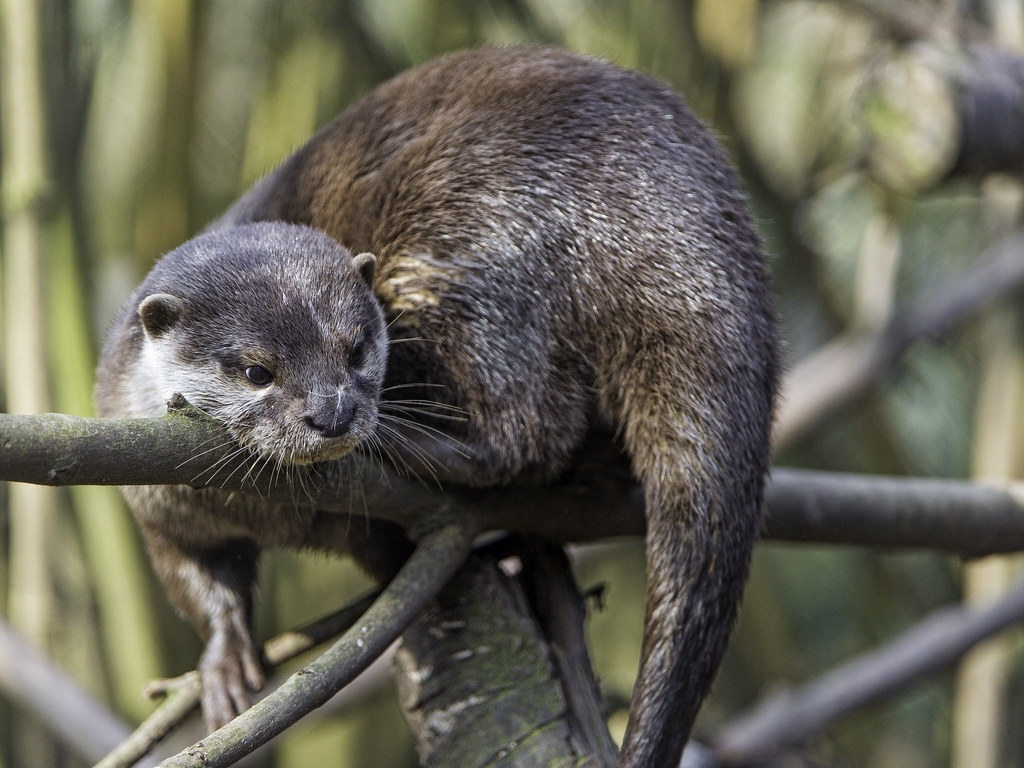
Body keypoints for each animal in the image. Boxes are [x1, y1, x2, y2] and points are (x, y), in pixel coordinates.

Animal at [97, 49, 782, 768]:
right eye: (257, 371)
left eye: (358, 348)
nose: (332, 415)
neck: (270, 513)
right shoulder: (156, 500)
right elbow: (195, 576)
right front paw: (224, 665)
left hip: (461, 247)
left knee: (530, 428)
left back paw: (418, 449)